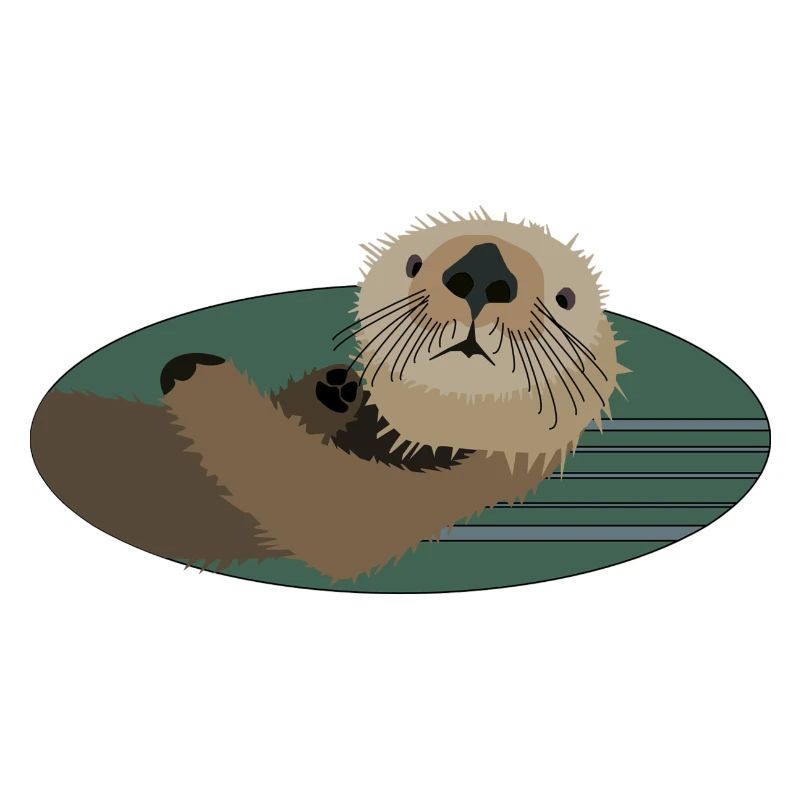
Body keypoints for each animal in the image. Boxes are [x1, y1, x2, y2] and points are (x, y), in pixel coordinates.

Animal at [31, 209, 628, 581]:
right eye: (413, 262)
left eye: (566, 297)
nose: (482, 271)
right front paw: (336, 387)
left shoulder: (434, 490)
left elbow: (306, 498)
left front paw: (193, 370)